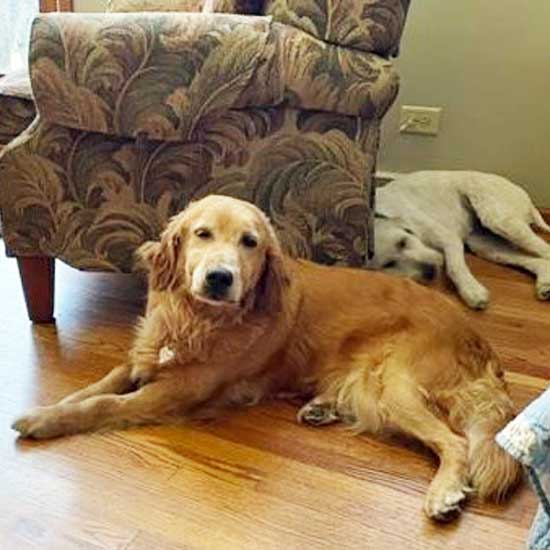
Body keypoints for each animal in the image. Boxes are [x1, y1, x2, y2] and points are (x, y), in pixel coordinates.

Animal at [12, 195, 521, 520]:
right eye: (202, 234)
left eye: (250, 242)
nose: (220, 278)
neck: (200, 319)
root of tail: (476, 337)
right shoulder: (145, 354)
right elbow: (99, 384)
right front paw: (52, 406)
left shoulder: (177, 389)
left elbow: (105, 404)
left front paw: (44, 422)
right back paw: (320, 408)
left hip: (393, 384)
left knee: (454, 443)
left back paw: (445, 493)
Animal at [371, 171, 550, 309]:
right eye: (388, 264)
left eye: (403, 242)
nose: (430, 271)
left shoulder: (449, 239)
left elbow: (455, 267)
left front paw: (471, 291)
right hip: (487, 247)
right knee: (538, 261)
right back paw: (544, 283)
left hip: (500, 221)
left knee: (545, 250)